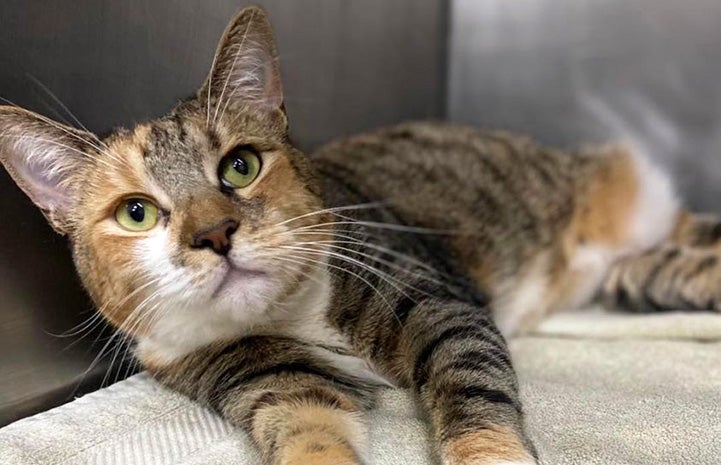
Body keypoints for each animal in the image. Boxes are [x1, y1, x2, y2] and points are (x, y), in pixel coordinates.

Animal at [1, 5, 720, 462]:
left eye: (240, 165)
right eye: (136, 213)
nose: (217, 233)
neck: (292, 316)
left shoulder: (436, 303)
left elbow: (472, 387)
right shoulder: (267, 378)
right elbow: (309, 431)